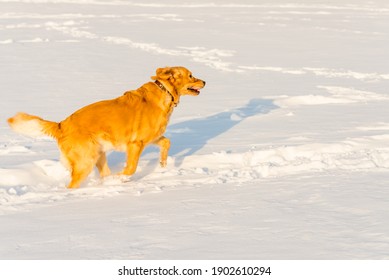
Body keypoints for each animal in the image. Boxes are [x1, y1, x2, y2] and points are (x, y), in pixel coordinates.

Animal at [7, 66, 205, 188]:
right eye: (191, 75)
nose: (204, 82)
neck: (165, 92)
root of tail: (61, 125)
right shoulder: (136, 144)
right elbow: (131, 168)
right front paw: (122, 178)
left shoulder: (153, 138)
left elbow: (167, 143)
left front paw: (163, 166)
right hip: (86, 161)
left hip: (98, 155)